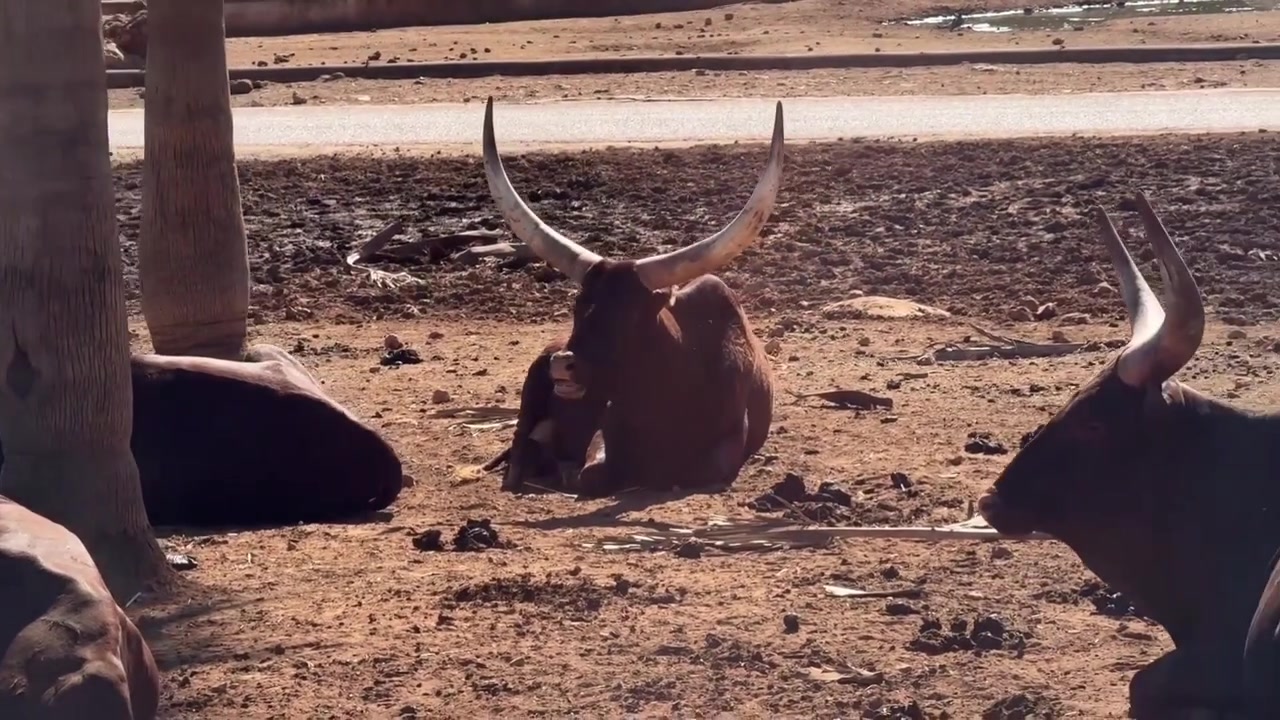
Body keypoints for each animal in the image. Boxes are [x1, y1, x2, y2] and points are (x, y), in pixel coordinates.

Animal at [482, 96, 782, 497]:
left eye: (628, 315)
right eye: (578, 306)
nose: (563, 364)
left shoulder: (730, 443)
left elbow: (706, 470)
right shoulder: (602, 434)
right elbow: (590, 474)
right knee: (518, 453)